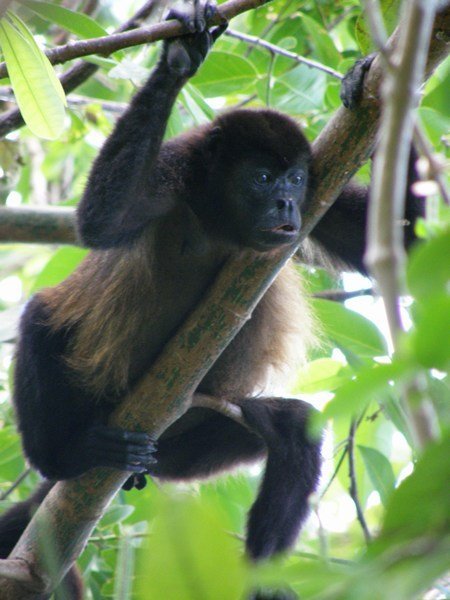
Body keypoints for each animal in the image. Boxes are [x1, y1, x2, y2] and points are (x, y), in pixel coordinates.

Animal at [0, 2, 422, 596]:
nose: (286, 204)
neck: (220, 215)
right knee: (41, 318)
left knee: (295, 430)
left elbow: (406, 241)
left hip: (182, 446)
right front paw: (178, 61)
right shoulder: (174, 170)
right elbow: (101, 219)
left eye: (295, 177)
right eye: (262, 177)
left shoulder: (320, 194)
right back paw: (68, 455)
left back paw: (263, 570)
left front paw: (368, 78)